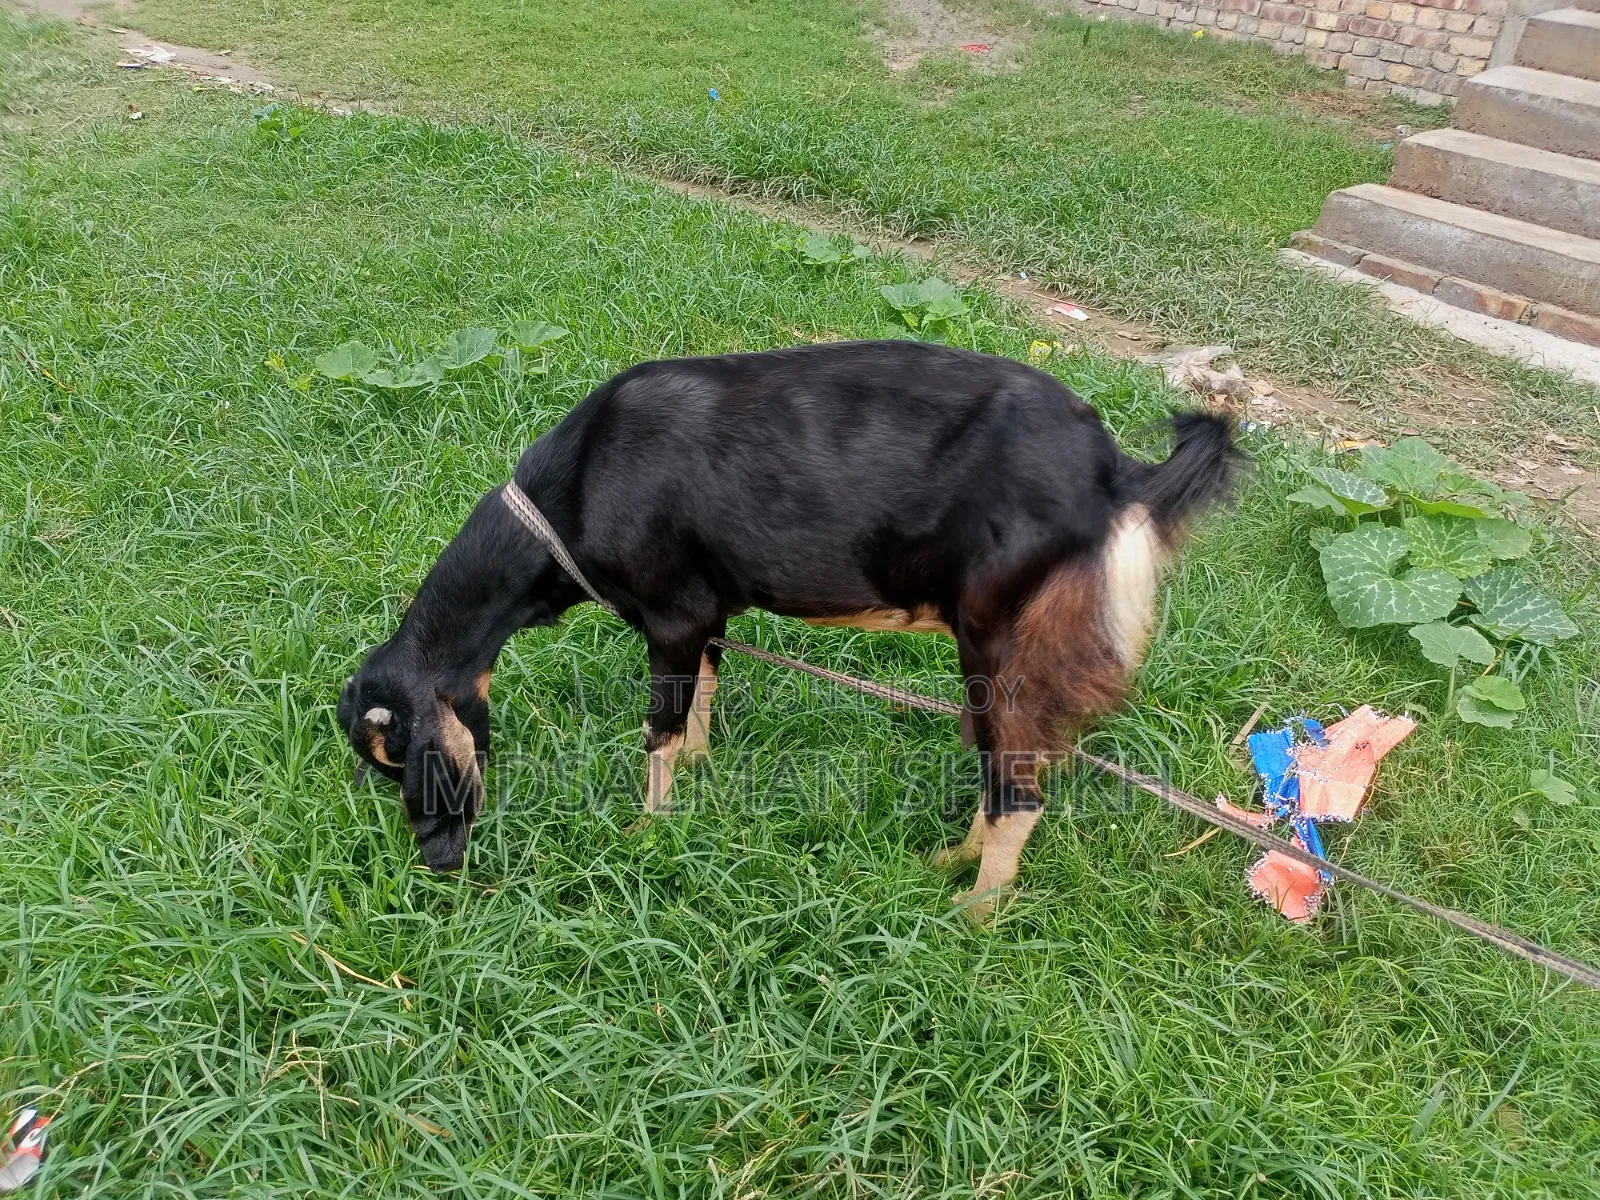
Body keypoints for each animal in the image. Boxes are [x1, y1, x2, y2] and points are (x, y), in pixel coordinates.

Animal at [338, 340, 1239, 917]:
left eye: (407, 758)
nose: (440, 865)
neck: (577, 491)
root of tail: (1114, 475)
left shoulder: (672, 616)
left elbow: (659, 728)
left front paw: (646, 831)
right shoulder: (706, 614)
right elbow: (702, 697)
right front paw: (702, 775)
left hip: (1002, 640)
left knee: (1018, 783)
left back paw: (974, 911)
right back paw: (946, 862)